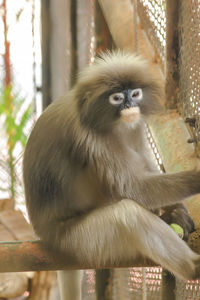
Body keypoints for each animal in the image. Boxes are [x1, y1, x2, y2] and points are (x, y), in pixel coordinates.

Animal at [23, 51, 200, 298]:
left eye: (135, 94)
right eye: (116, 98)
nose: (129, 105)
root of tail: (46, 236)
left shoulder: (134, 125)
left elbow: (143, 163)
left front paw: (177, 211)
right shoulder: (90, 136)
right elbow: (135, 188)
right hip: (79, 241)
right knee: (127, 214)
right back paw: (193, 267)